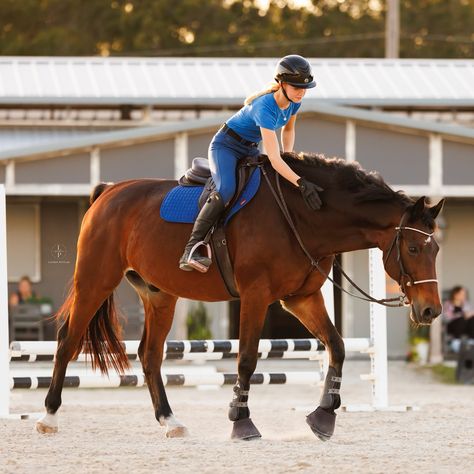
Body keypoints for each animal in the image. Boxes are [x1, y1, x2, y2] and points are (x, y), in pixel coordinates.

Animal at [36, 151, 444, 440]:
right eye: (412, 248)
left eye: (436, 248)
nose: (430, 311)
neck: (302, 215)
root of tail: (108, 191)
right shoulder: (255, 295)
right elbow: (246, 359)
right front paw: (241, 422)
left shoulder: (302, 298)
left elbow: (337, 347)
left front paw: (324, 417)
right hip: (95, 280)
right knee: (67, 341)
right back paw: (48, 417)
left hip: (159, 295)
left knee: (150, 355)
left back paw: (170, 421)